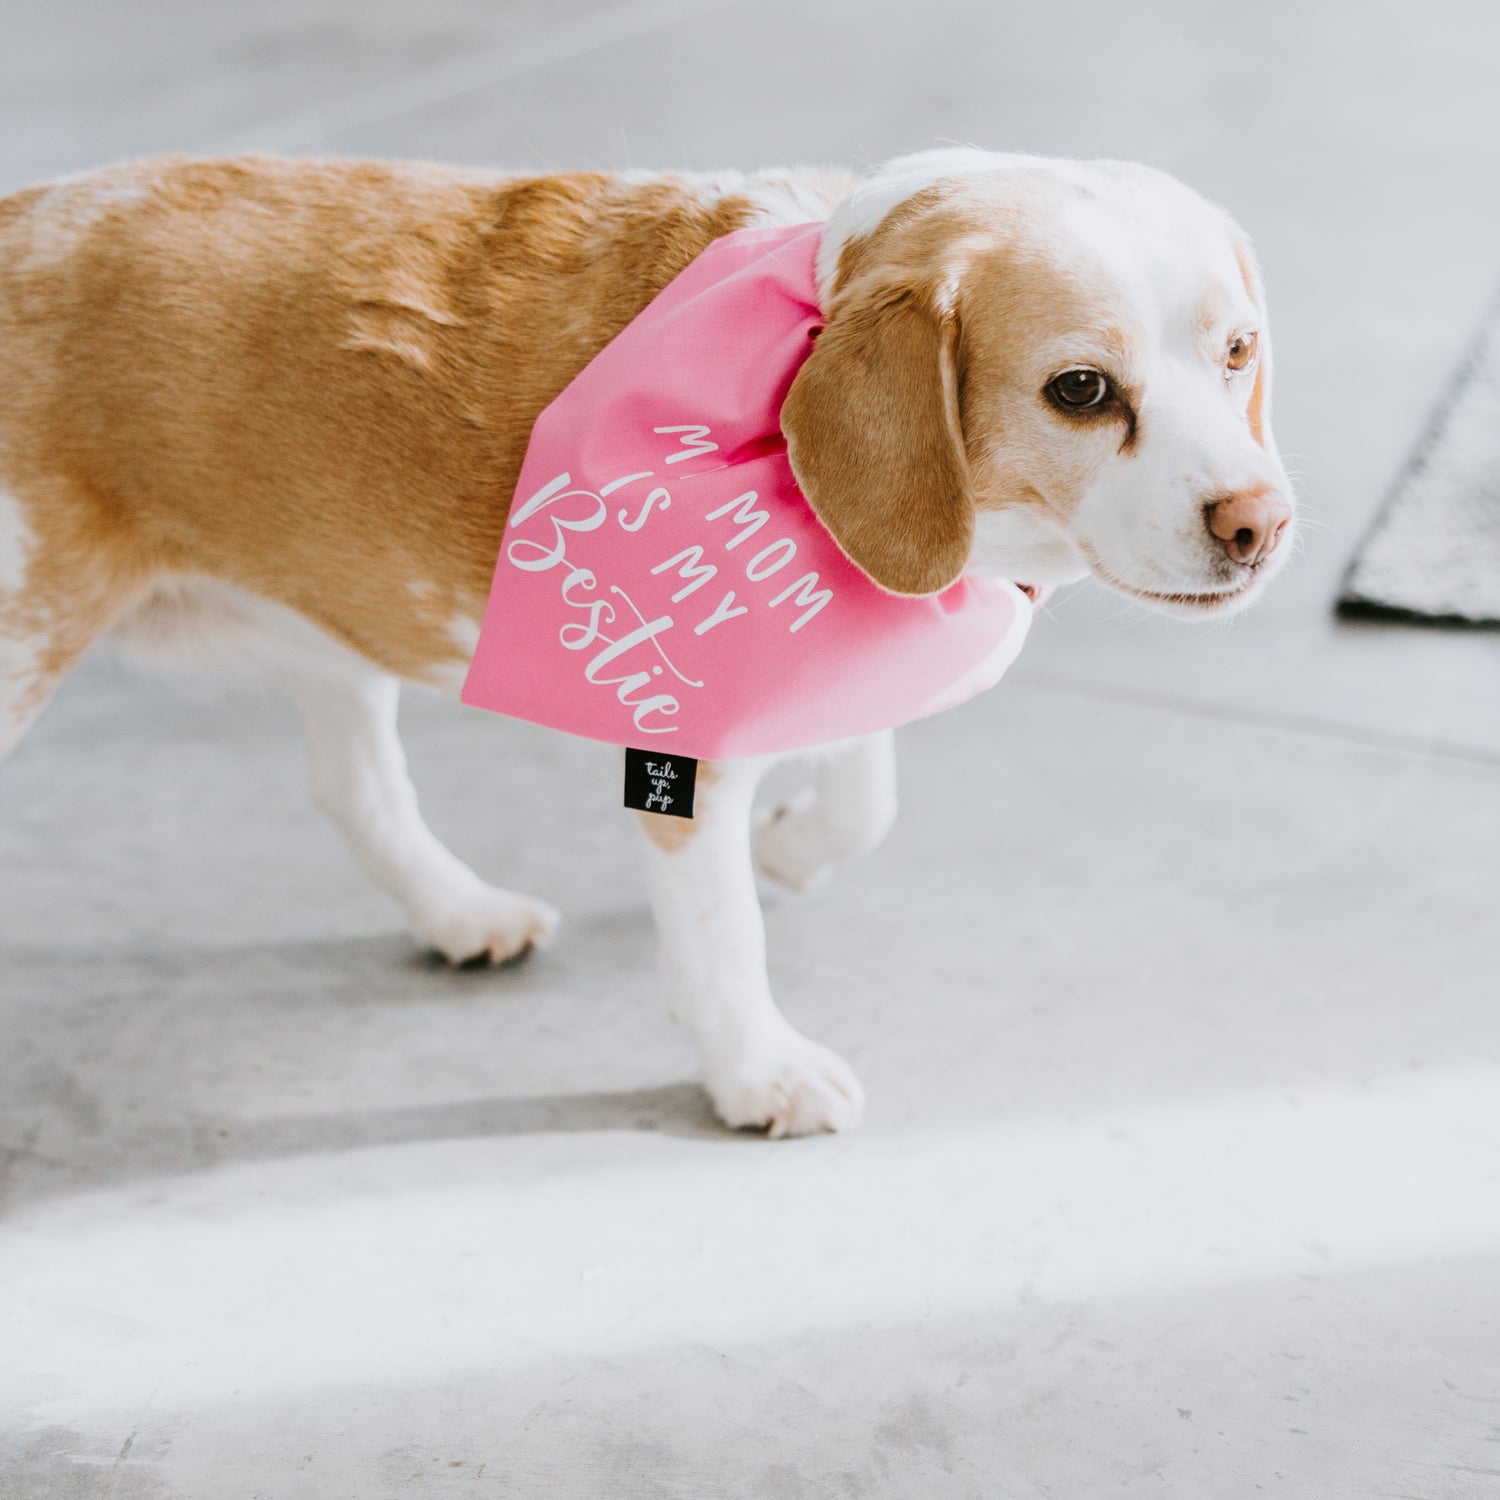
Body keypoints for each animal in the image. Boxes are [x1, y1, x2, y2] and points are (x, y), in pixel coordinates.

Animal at [0, 149, 1290, 1134]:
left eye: (1237, 353)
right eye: (1080, 390)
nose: (1260, 524)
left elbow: (862, 794)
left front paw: (795, 847)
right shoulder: (687, 753)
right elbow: (722, 940)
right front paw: (757, 1071)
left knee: (353, 792)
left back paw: (458, 913)